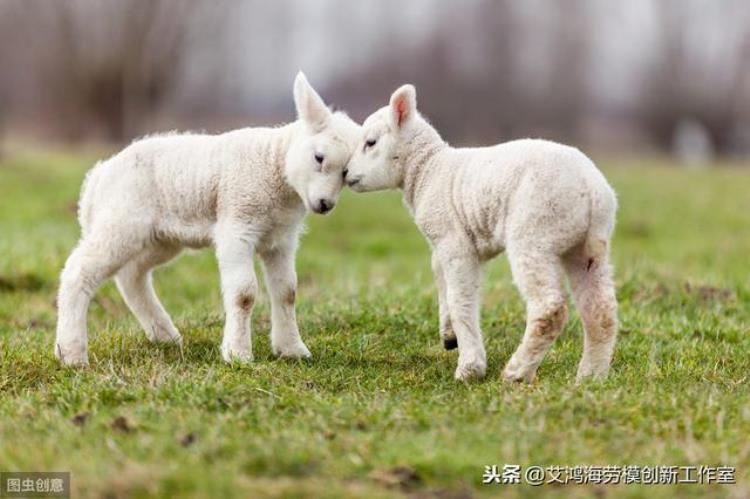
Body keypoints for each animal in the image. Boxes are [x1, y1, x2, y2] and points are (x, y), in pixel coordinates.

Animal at [55, 72, 362, 366]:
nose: (324, 204)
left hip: (159, 238)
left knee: (132, 276)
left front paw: (292, 350)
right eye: (319, 157)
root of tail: (97, 177)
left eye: (346, 173)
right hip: (121, 220)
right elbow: (244, 293)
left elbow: (287, 291)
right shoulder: (237, 225)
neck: (274, 164)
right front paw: (237, 354)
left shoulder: (281, 239)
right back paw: (71, 353)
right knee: (79, 270)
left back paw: (165, 336)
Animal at [344, 86, 620, 382]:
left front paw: (470, 367)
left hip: (535, 231)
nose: (345, 173)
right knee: (601, 311)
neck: (427, 170)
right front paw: (449, 335)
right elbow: (441, 279)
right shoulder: (444, 243)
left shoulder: (454, 243)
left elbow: (461, 299)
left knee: (550, 309)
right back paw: (590, 377)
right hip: (584, 249)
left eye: (370, 142)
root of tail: (592, 190)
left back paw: (516, 373)